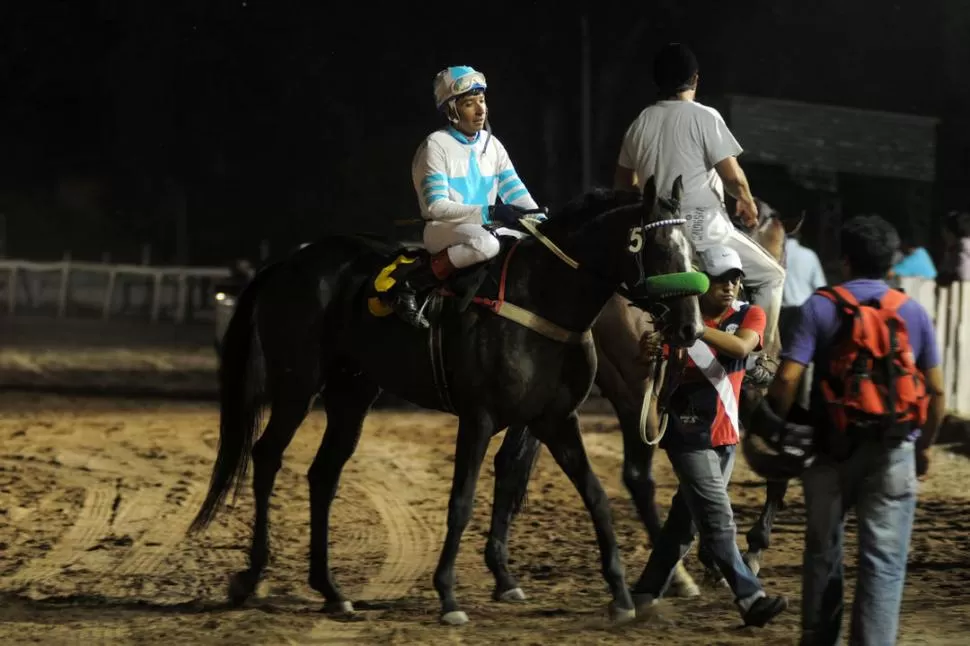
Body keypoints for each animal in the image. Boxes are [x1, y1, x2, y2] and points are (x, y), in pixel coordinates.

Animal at [189, 180, 704, 624]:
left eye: (692, 248)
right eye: (661, 248)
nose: (690, 327)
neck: (540, 300)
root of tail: (288, 263)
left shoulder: (555, 418)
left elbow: (595, 494)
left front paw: (620, 595)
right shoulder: (479, 417)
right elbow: (461, 500)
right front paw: (448, 595)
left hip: (352, 393)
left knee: (323, 474)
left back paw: (331, 590)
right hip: (297, 385)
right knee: (266, 456)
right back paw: (253, 576)